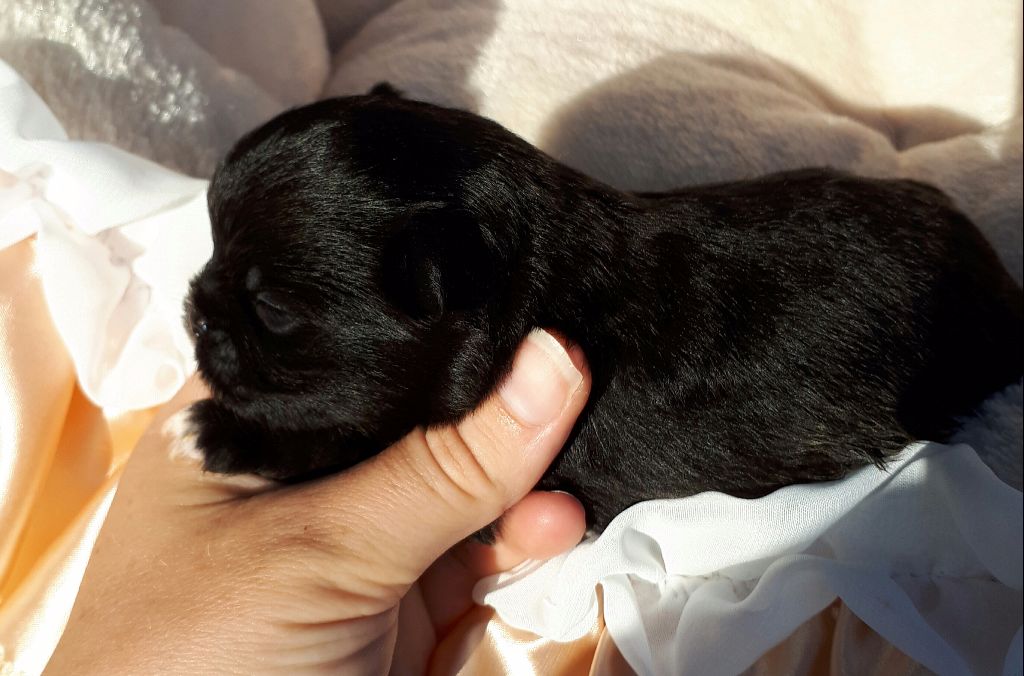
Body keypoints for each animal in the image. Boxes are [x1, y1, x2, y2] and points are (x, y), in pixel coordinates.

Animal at [182, 83, 1023, 536]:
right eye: (211, 241)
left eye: (272, 309)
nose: (195, 312)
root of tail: (1001, 290)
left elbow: (339, 440)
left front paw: (221, 432)